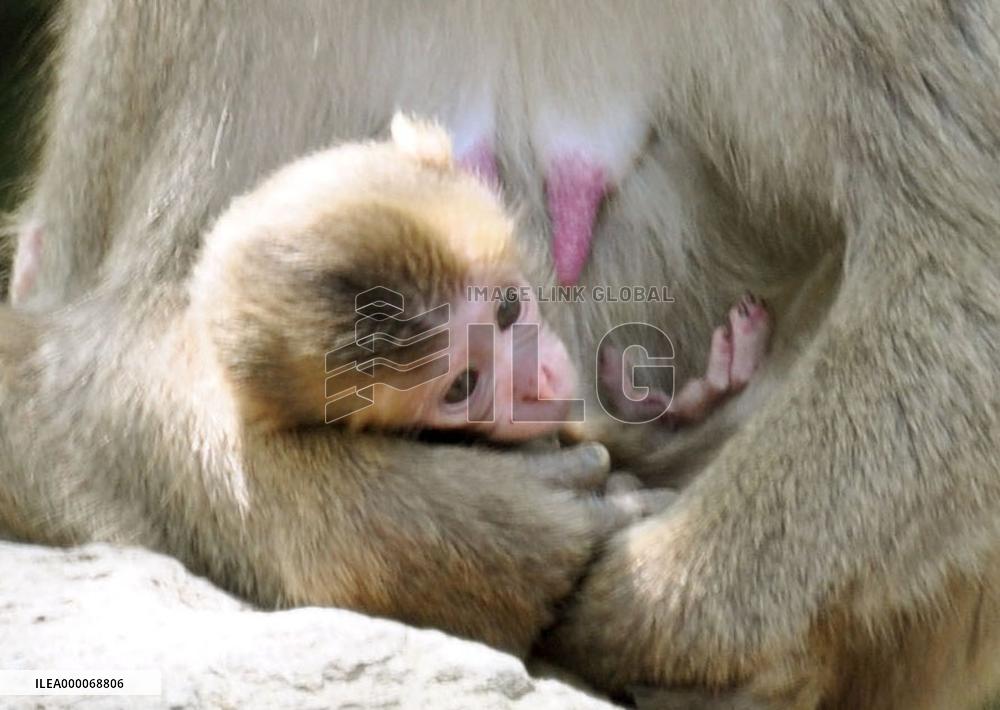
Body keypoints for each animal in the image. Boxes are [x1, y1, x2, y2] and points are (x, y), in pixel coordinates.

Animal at [9, 2, 1000, 709]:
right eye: (463, 383)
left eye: (514, 309)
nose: (535, 385)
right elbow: (108, 337)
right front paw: (476, 534)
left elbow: (954, 250)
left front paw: (648, 598)